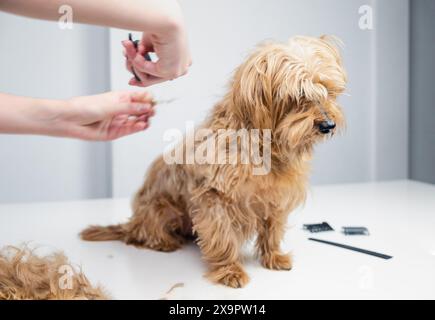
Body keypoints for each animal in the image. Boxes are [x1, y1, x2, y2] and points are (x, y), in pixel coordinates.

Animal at [81, 35, 348, 288]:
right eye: (299, 95)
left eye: (328, 91)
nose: (328, 125)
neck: (265, 145)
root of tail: (133, 222)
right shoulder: (215, 200)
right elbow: (223, 237)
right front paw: (230, 270)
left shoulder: (277, 198)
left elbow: (272, 230)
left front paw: (273, 256)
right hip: (161, 208)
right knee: (143, 234)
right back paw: (164, 241)